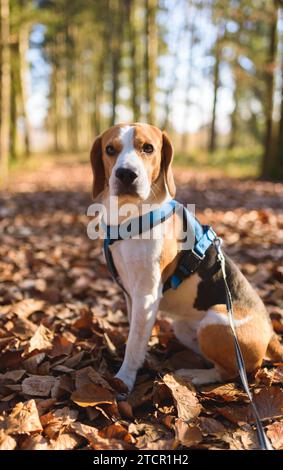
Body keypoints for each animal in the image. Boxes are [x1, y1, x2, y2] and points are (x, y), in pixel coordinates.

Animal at [91, 122, 283, 392]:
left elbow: (134, 343)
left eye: (148, 148)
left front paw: (125, 378)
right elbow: (136, 335)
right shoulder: (132, 296)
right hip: (184, 327)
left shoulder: (146, 296)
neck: (130, 217)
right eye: (110, 149)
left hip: (214, 322)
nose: (126, 174)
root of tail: (270, 333)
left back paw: (195, 375)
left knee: (232, 372)